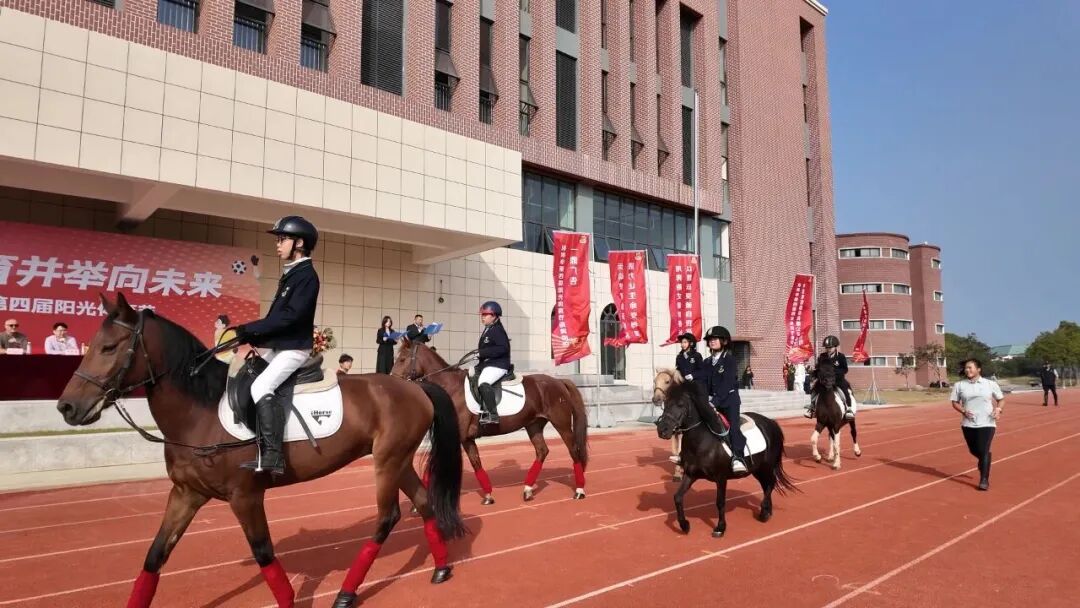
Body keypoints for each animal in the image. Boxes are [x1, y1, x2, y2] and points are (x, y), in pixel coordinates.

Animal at [56, 293, 466, 608]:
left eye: (109, 347)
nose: (67, 407)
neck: (201, 411)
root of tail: (414, 386)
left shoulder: (245, 496)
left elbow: (264, 554)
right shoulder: (186, 493)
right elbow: (155, 557)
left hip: (387, 461)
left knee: (386, 518)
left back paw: (347, 593)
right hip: (399, 461)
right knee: (424, 503)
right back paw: (441, 568)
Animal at [393, 339, 589, 504]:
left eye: (402, 359)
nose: (393, 381)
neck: (451, 388)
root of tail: (558, 381)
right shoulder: (466, 439)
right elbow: (475, 462)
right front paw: (487, 495)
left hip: (562, 424)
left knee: (574, 451)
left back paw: (579, 490)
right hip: (533, 425)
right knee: (542, 451)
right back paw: (527, 490)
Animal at [652, 370, 797, 537]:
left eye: (680, 404)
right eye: (666, 403)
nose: (662, 429)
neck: (702, 442)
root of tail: (770, 422)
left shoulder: (721, 478)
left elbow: (720, 502)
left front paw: (720, 527)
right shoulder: (690, 474)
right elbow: (677, 497)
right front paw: (684, 525)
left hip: (766, 466)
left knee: (770, 484)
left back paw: (763, 513)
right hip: (757, 469)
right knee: (767, 484)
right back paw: (767, 510)